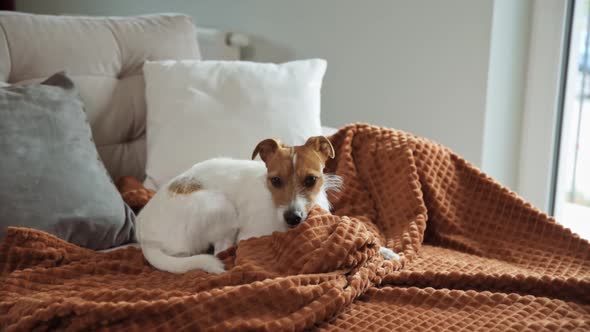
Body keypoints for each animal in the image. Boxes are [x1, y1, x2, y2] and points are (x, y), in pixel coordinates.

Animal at [136, 136, 400, 274]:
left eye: (311, 180)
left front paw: (387, 252)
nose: (293, 218)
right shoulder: (251, 233)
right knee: (221, 249)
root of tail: (146, 238)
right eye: (275, 181)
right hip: (221, 206)